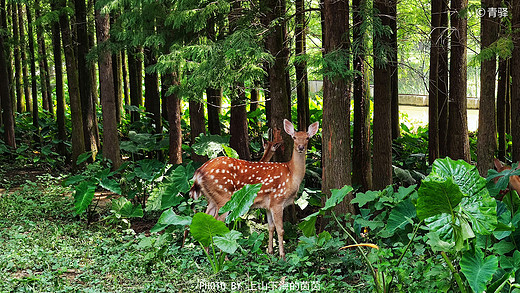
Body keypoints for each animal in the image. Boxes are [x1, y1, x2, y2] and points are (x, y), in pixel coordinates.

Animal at [189, 119, 318, 258]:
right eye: (294, 137)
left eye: (307, 138)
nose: (301, 147)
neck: (292, 174)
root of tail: (199, 172)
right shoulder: (277, 200)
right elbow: (281, 229)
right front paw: (282, 256)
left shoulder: (268, 205)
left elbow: (270, 227)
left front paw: (270, 252)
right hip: (224, 196)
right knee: (219, 222)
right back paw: (225, 257)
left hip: (212, 198)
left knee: (207, 219)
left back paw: (208, 253)